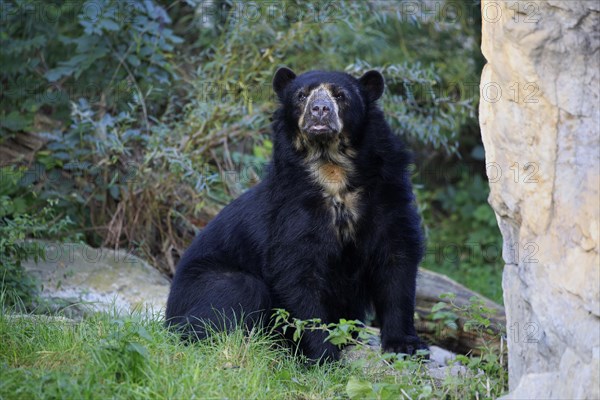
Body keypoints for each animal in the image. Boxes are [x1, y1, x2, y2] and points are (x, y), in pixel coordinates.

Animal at [164, 67, 426, 360]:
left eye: (340, 95)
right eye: (302, 95)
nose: (319, 110)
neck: (332, 168)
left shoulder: (388, 196)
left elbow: (397, 262)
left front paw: (406, 345)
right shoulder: (290, 210)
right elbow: (297, 271)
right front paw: (323, 355)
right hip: (204, 283)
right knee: (236, 294)